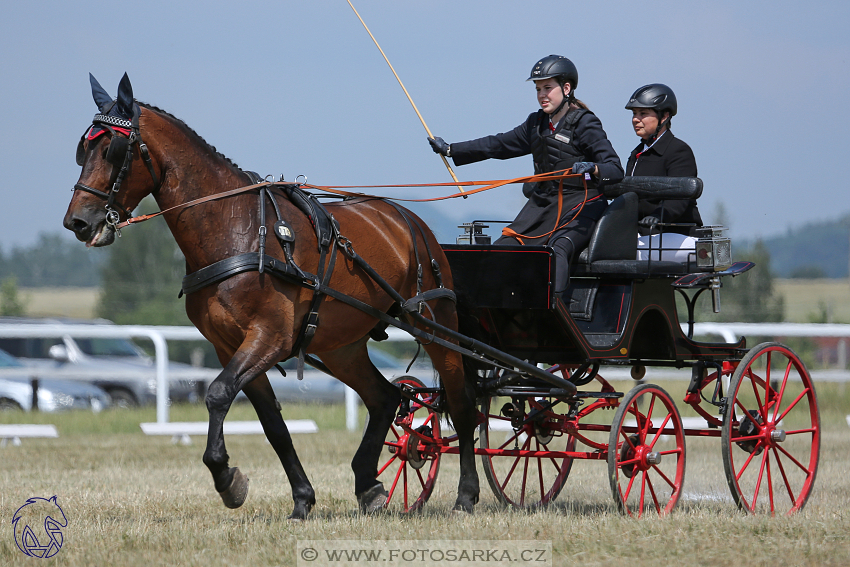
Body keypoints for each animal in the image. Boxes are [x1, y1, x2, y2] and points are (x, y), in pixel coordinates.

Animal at [64, 72, 476, 520]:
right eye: (83, 148)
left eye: (113, 148)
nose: (77, 222)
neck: (236, 231)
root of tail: (408, 219)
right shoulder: (229, 345)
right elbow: (272, 424)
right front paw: (301, 498)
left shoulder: (269, 337)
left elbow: (217, 394)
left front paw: (227, 478)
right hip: (341, 346)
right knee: (385, 398)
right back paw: (368, 485)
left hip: (436, 323)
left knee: (462, 404)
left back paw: (466, 495)